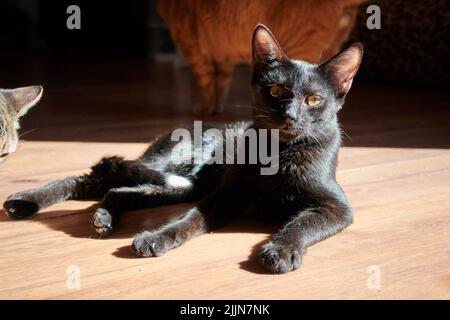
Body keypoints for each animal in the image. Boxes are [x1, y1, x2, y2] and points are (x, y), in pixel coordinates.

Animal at [2, 25, 362, 276]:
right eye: (274, 91)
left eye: (313, 99)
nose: (289, 116)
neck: (278, 154)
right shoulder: (224, 196)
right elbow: (191, 218)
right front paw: (160, 237)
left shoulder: (336, 207)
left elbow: (302, 224)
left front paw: (282, 250)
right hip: (174, 166)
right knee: (99, 175)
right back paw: (25, 201)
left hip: (184, 184)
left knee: (118, 190)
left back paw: (104, 217)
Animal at [156, 0, 364, 115]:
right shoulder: (224, 52)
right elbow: (220, 83)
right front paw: (216, 107)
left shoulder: (190, 44)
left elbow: (206, 81)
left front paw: (206, 108)